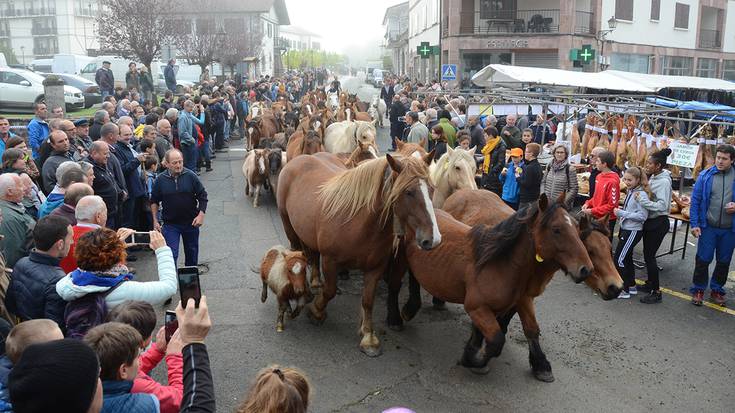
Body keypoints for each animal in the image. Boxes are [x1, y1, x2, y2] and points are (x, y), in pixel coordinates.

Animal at [274, 151, 436, 354]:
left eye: (432, 189)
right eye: (409, 192)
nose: (432, 239)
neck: (359, 223)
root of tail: (300, 158)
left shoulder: (375, 268)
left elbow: (368, 300)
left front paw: (368, 337)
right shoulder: (330, 261)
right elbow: (330, 291)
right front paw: (317, 312)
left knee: (313, 255)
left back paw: (316, 282)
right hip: (289, 228)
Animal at [386, 192, 600, 382]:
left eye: (577, 228)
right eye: (556, 229)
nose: (586, 269)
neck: (498, 263)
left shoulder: (510, 303)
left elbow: (520, 330)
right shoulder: (477, 308)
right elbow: (497, 340)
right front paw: (472, 360)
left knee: (414, 279)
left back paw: (410, 308)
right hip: (399, 260)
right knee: (395, 286)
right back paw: (395, 319)